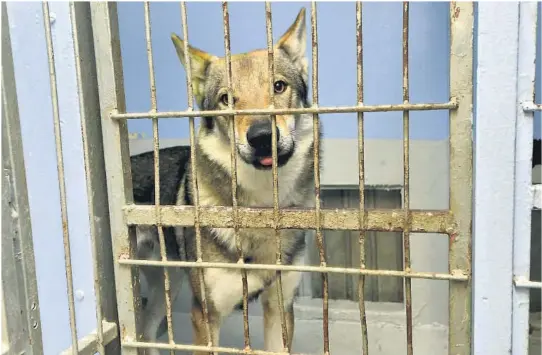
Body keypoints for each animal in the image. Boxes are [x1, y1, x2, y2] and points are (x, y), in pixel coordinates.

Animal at [132, 8, 324, 355]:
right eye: (227, 99)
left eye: (279, 86)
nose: (261, 137)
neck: (260, 209)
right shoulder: (206, 315)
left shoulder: (280, 308)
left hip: (169, 285)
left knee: (147, 331)